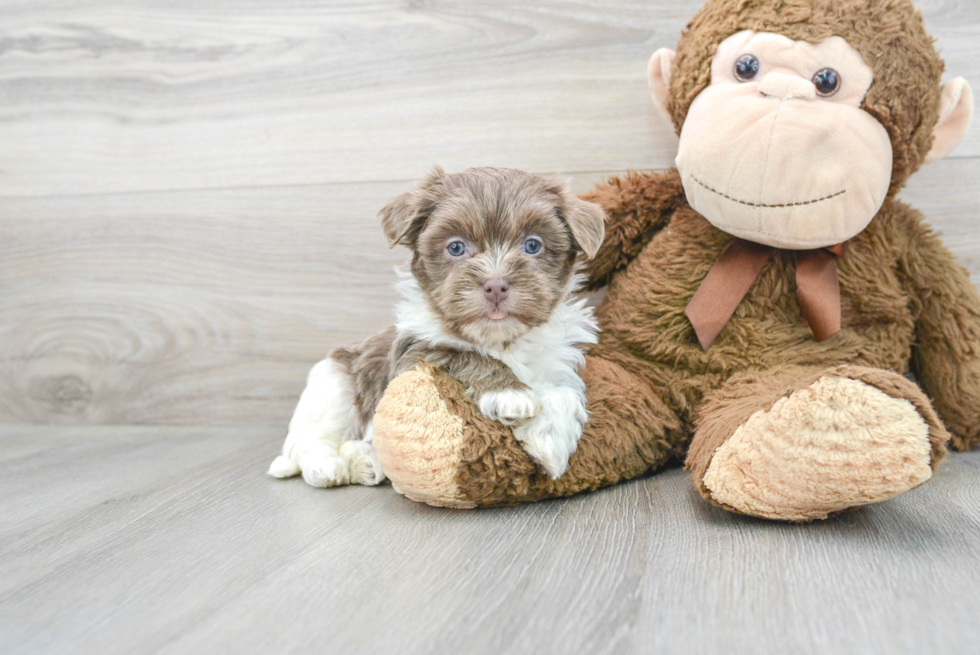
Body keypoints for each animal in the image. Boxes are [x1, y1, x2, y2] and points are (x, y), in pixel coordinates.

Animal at [268, 167, 604, 490]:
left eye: (532, 245)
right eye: (456, 247)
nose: (495, 284)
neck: (499, 341)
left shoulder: (558, 360)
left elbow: (562, 391)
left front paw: (550, 439)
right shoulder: (412, 354)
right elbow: (461, 353)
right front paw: (510, 393)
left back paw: (367, 463)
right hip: (332, 385)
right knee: (312, 440)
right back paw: (327, 467)